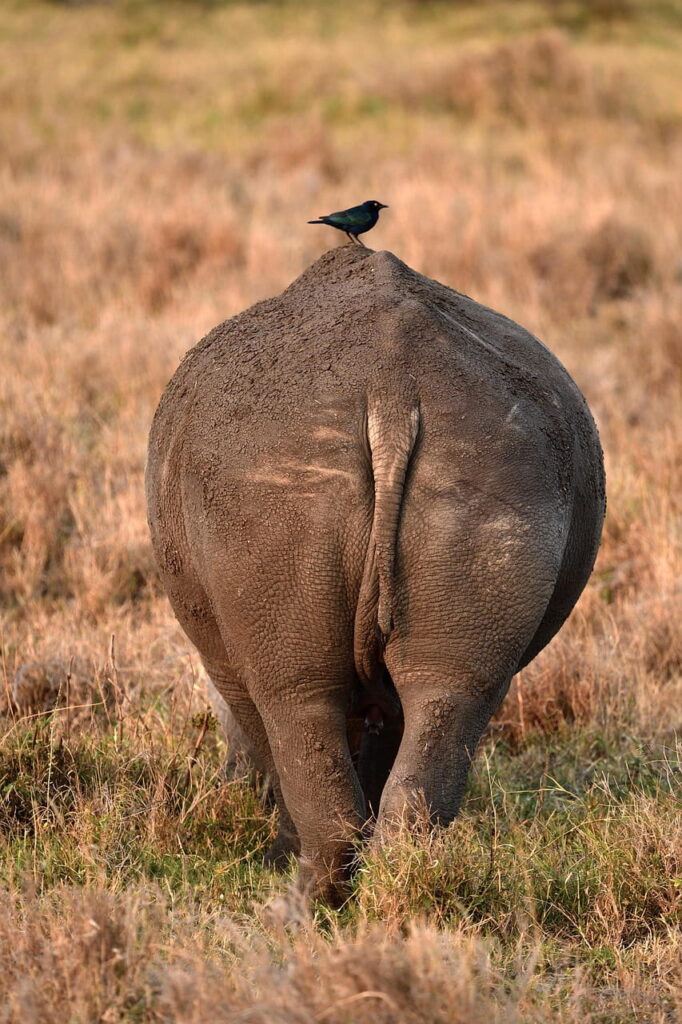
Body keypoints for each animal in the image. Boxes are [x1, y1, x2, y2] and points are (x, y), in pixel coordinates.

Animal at [146, 246, 605, 903]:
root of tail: (391, 386)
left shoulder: (228, 666)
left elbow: (267, 738)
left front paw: (279, 848)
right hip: (497, 474)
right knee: (447, 697)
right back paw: (392, 892)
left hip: (269, 485)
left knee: (297, 703)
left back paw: (302, 901)